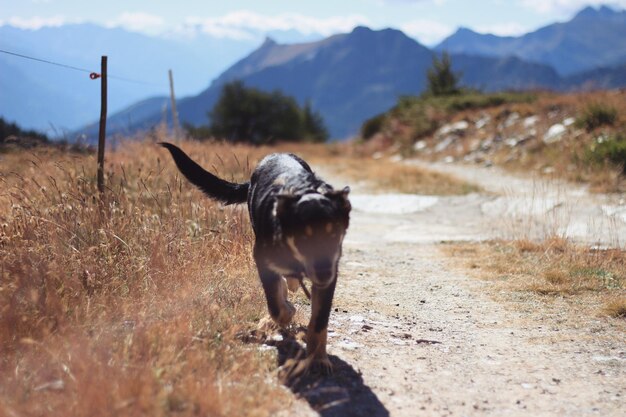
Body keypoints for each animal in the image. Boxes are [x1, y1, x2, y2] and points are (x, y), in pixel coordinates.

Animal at [158, 143, 348, 374]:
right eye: (303, 236)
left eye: (334, 234)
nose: (323, 273)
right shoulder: (263, 261)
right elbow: (277, 307)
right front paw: (287, 312)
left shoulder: (331, 273)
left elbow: (319, 321)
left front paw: (319, 359)